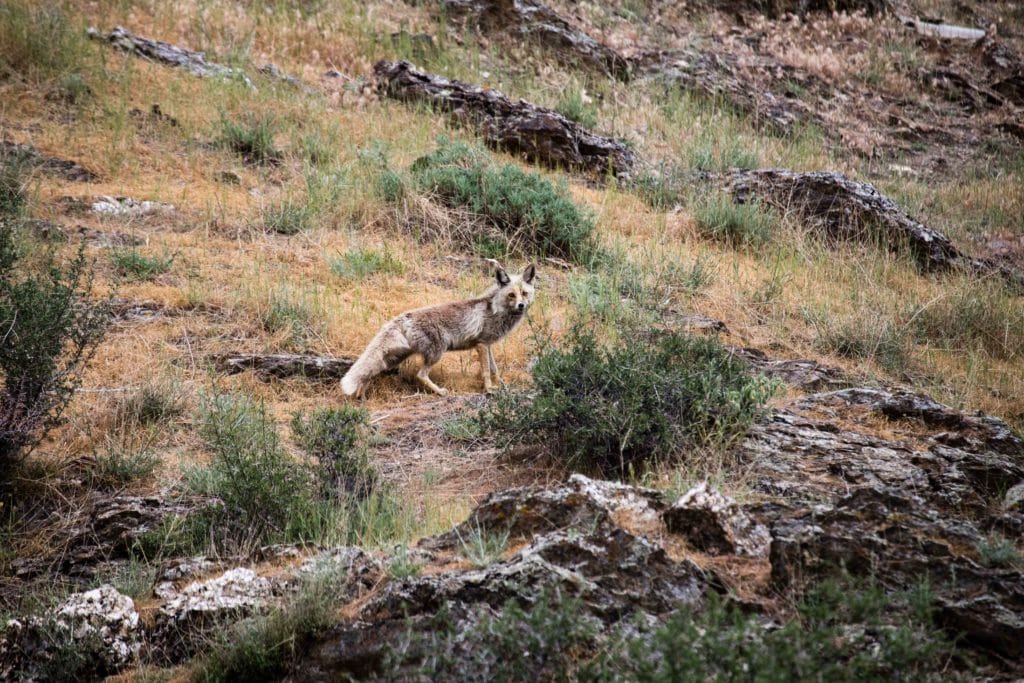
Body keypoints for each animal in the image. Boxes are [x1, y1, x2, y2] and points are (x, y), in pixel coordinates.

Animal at [342, 264, 540, 397]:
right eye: (511, 295)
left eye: (524, 293)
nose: (521, 306)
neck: (495, 310)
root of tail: (403, 317)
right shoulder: (482, 344)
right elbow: (486, 371)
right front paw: (489, 389)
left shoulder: (488, 345)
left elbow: (494, 369)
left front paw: (502, 384)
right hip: (437, 352)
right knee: (420, 375)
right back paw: (440, 392)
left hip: (395, 359)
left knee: (369, 373)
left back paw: (361, 396)